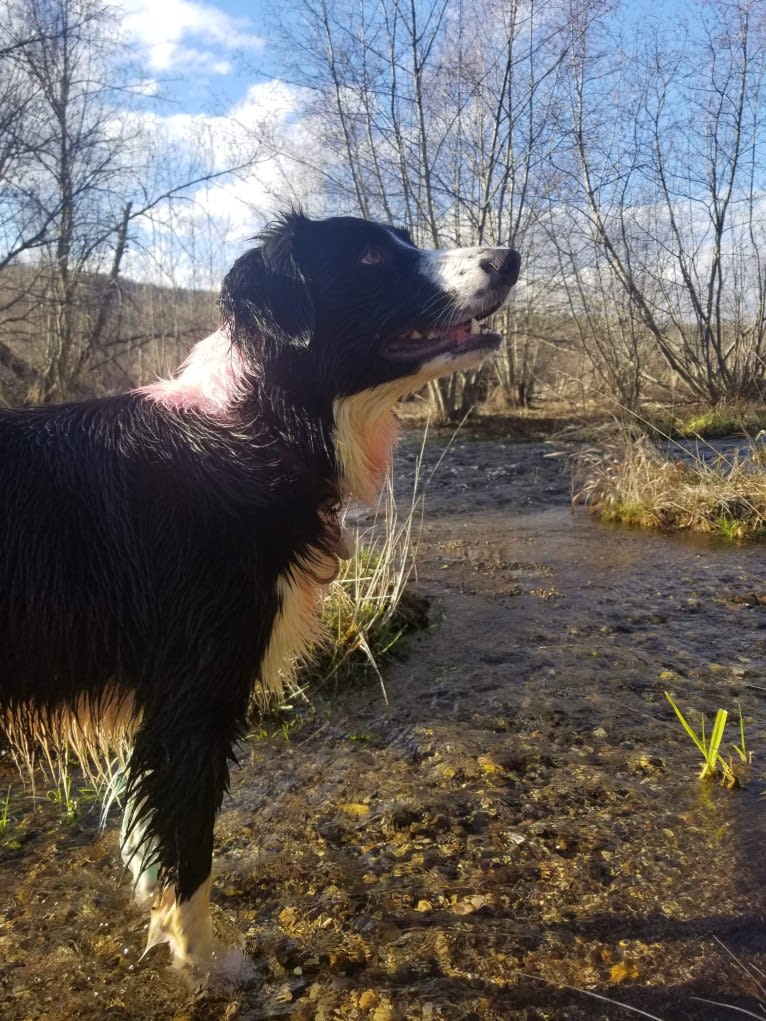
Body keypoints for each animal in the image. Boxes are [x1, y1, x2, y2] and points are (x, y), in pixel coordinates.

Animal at [0, 209, 522, 980]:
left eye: (403, 237)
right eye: (370, 256)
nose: (508, 258)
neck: (257, 428)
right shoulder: (191, 700)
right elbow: (188, 851)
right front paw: (206, 966)